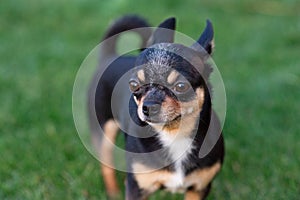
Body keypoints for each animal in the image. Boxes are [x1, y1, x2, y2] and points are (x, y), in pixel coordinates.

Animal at [88, 14, 224, 199]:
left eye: (181, 86)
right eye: (134, 84)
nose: (149, 106)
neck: (174, 135)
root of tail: (110, 57)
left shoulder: (198, 188)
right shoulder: (137, 189)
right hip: (105, 132)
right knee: (106, 165)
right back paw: (113, 192)